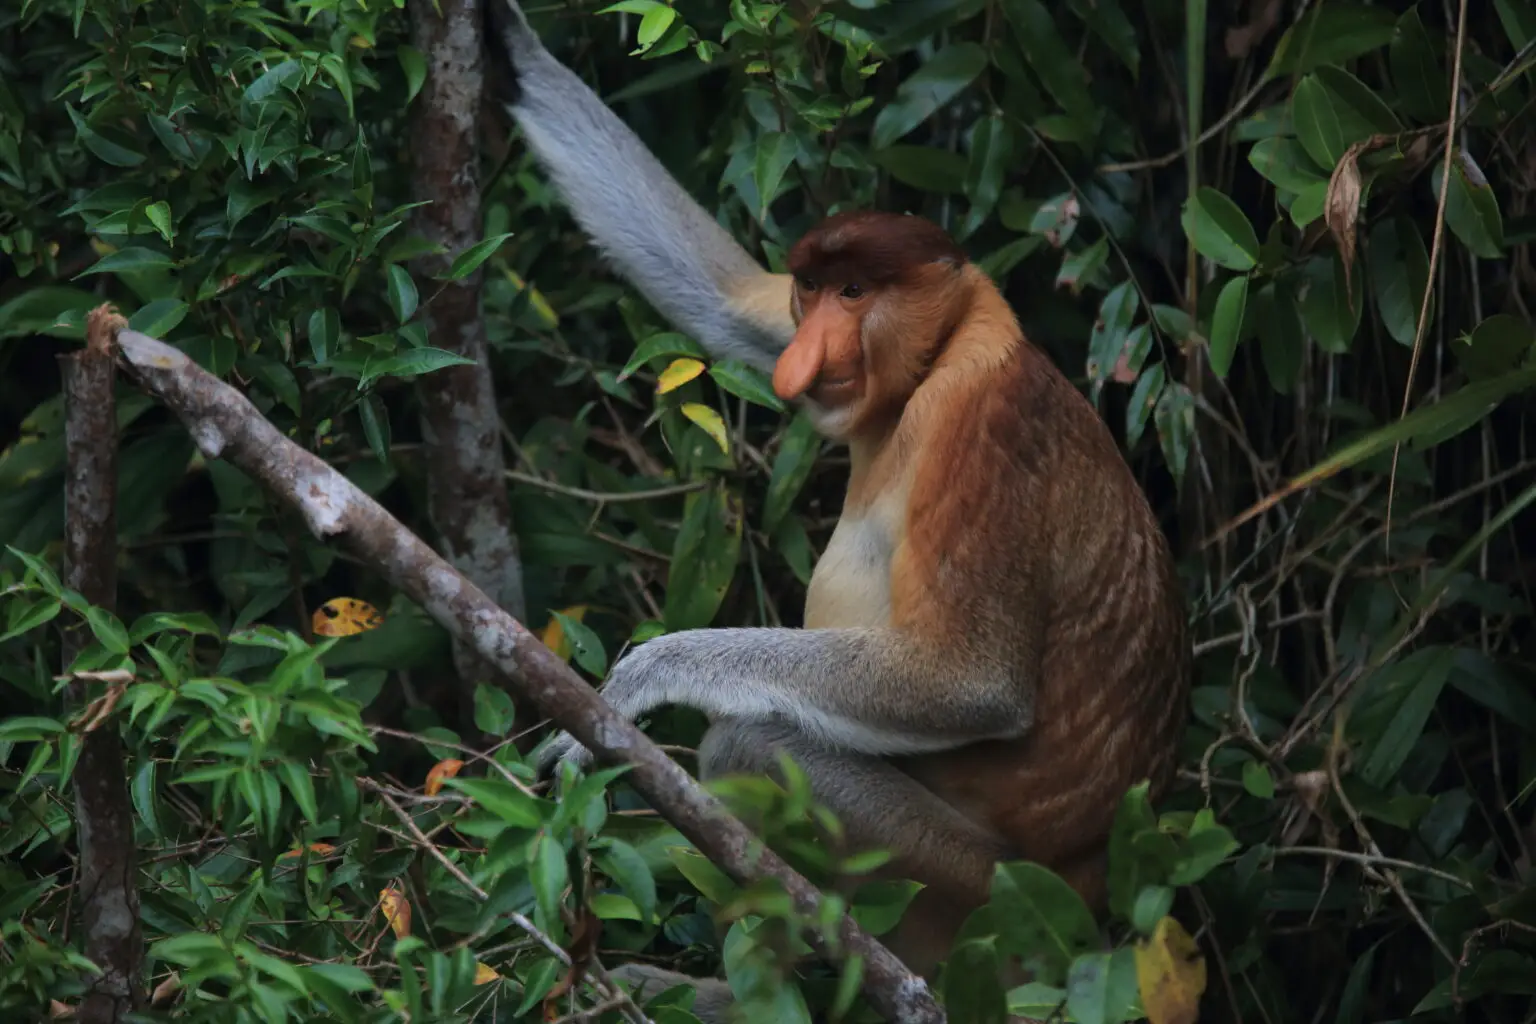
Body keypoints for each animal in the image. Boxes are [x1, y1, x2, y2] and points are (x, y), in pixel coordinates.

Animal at [488, 4, 1191, 1020]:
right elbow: (733, 306)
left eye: (858, 292)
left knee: (751, 742)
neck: (938, 359)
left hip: (973, 888)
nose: (805, 361)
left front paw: (638, 682)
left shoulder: (979, 427)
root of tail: (1093, 912)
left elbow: (970, 683)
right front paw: (505, 44)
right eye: (813, 292)